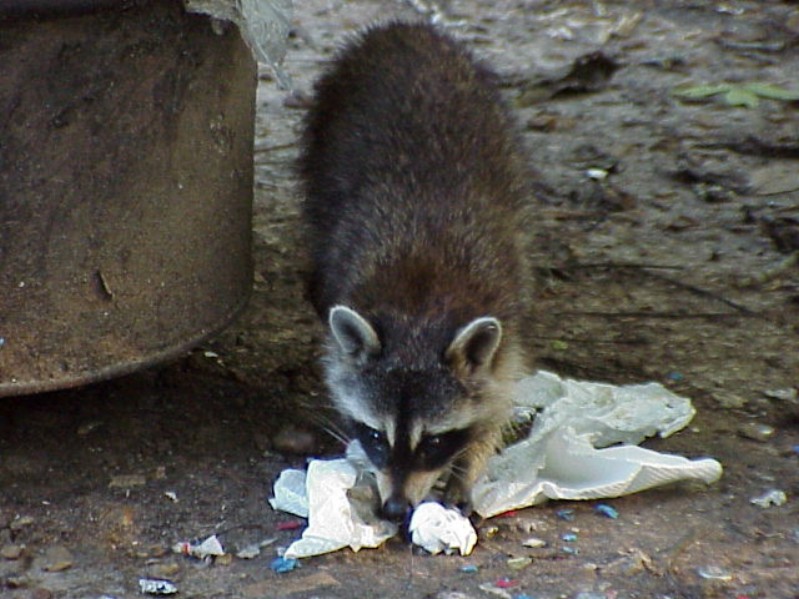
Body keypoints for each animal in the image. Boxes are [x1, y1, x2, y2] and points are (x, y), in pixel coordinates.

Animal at [300, 22, 532, 520]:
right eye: (375, 436)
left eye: (434, 443)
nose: (394, 508)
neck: (419, 309)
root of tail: (404, 29)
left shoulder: (505, 312)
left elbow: (495, 396)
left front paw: (468, 467)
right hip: (323, 132)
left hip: (500, 128)